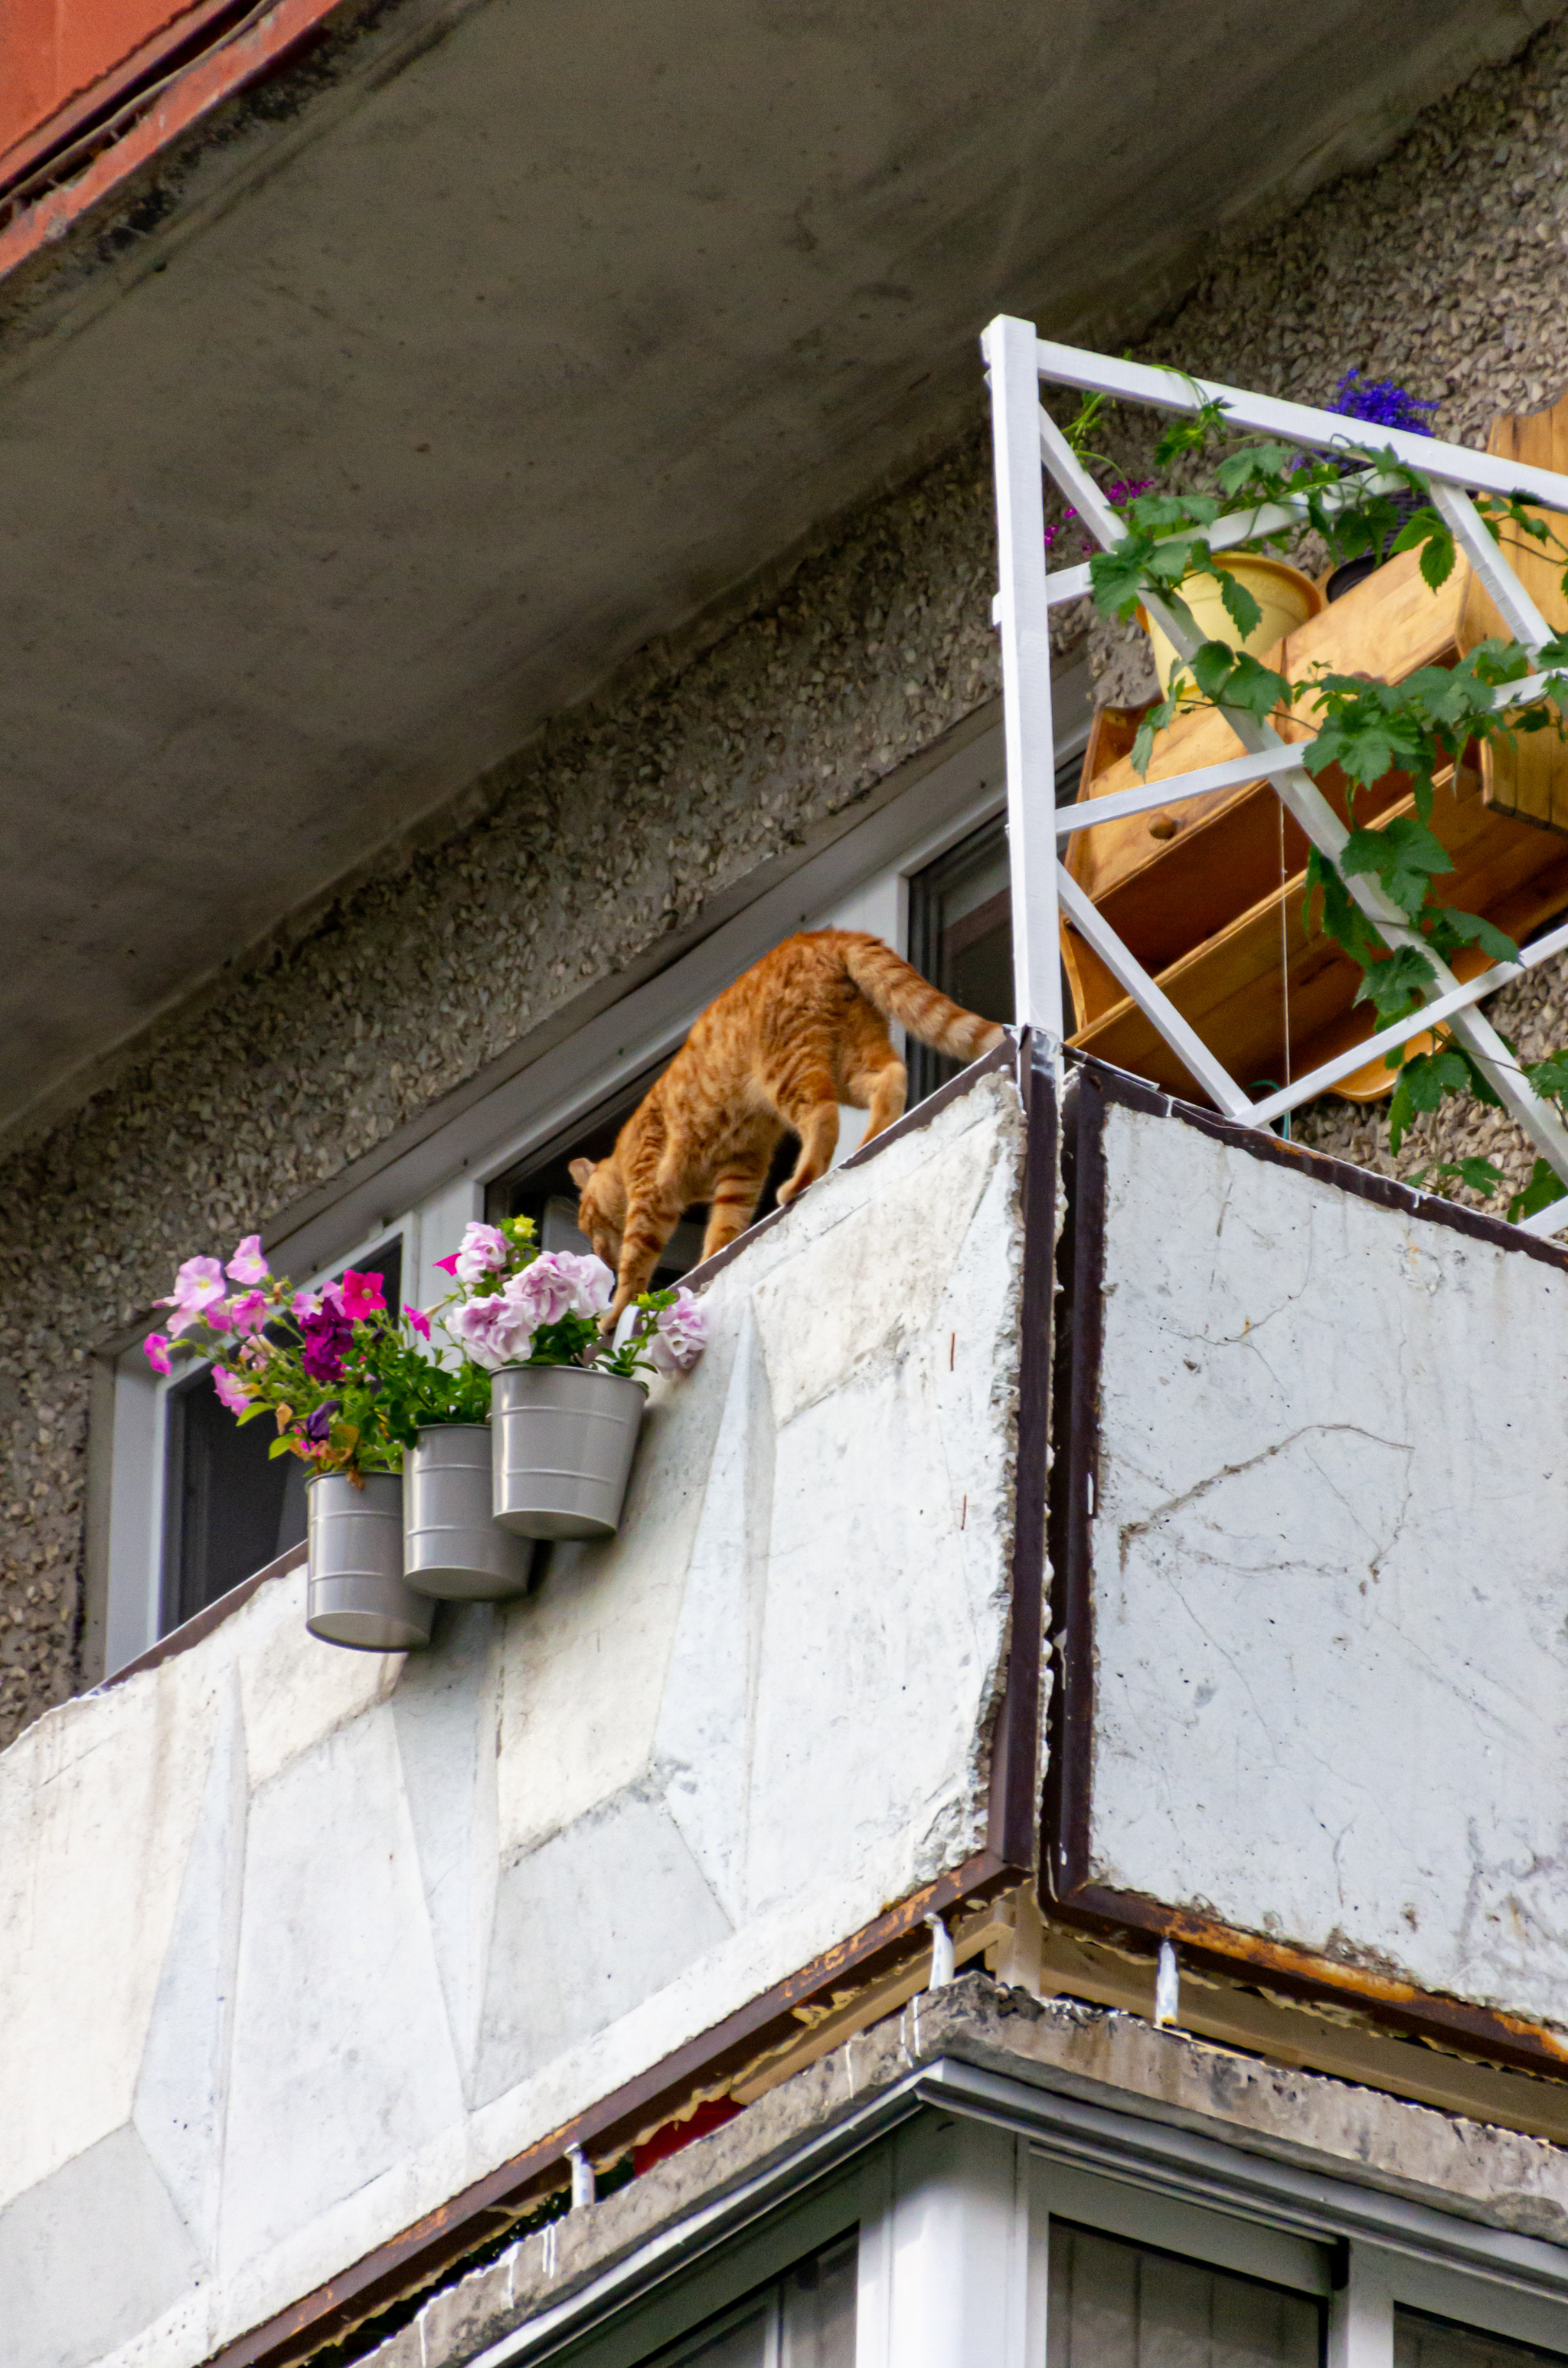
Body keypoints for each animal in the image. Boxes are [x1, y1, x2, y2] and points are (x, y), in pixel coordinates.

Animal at [570, 923, 999, 1326]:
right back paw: (872, 1138)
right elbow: (724, 1229)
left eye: (585, 1222)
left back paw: (799, 1183)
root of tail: (823, 935)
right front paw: (708, 1262)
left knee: (824, 1118)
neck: (625, 1162)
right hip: (850, 1057)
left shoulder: (652, 1195)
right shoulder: (741, 1168)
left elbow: (636, 1268)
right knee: (892, 1078)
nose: (598, 1255)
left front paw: (613, 1315)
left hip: (787, 1070)